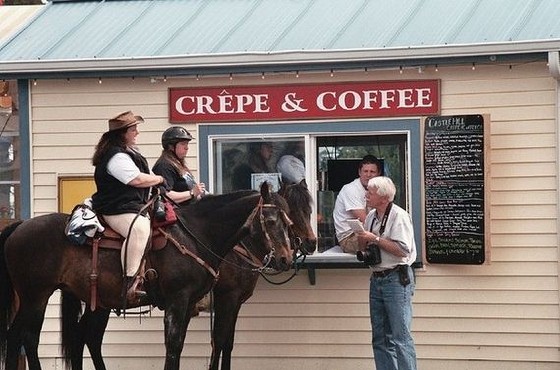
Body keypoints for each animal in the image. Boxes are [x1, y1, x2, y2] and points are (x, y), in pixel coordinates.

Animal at [0, 184, 288, 370]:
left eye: (289, 221)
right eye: (272, 220)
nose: (285, 258)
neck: (198, 235)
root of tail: (20, 226)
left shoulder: (195, 304)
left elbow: (212, 343)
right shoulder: (186, 300)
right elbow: (181, 345)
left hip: (83, 301)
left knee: (59, 337)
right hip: (35, 296)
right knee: (25, 337)